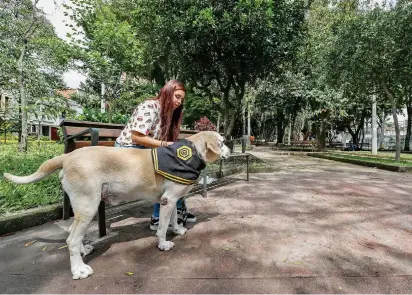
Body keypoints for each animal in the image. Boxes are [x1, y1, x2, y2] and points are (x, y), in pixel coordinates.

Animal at [4, 131, 229, 280]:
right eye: (222, 142)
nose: (229, 148)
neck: (191, 153)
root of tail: (69, 155)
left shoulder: (171, 200)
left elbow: (173, 218)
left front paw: (178, 230)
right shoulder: (168, 200)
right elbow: (162, 227)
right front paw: (163, 244)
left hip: (83, 208)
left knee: (74, 234)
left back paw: (84, 250)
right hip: (88, 206)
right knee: (71, 240)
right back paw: (79, 270)